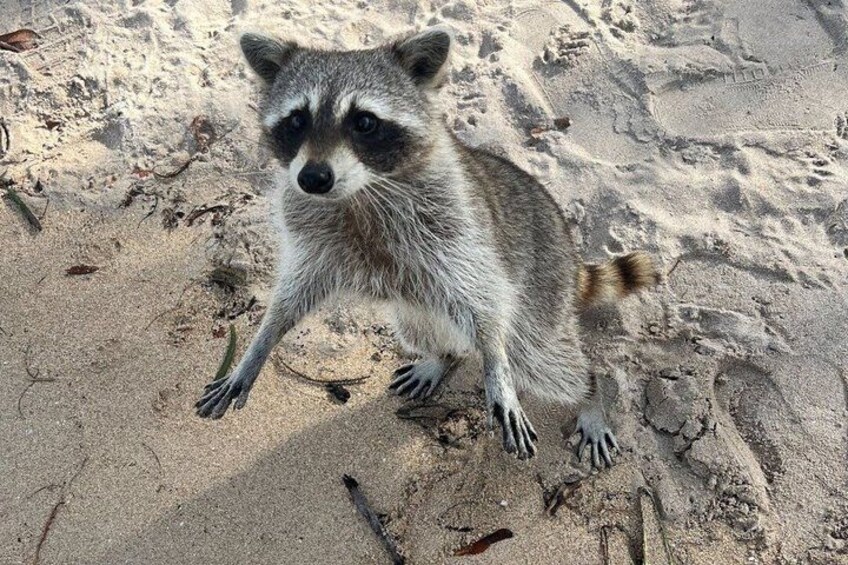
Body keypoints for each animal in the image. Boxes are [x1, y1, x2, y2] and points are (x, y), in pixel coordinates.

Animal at [195, 28, 660, 466]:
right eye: (296, 120)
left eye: (364, 122)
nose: (312, 178)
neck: (359, 191)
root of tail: (569, 248)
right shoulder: (310, 234)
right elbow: (293, 294)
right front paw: (257, 347)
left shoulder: (458, 226)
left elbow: (487, 298)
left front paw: (497, 368)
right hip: (419, 305)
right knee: (427, 328)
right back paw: (443, 355)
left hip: (543, 290)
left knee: (543, 359)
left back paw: (590, 395)